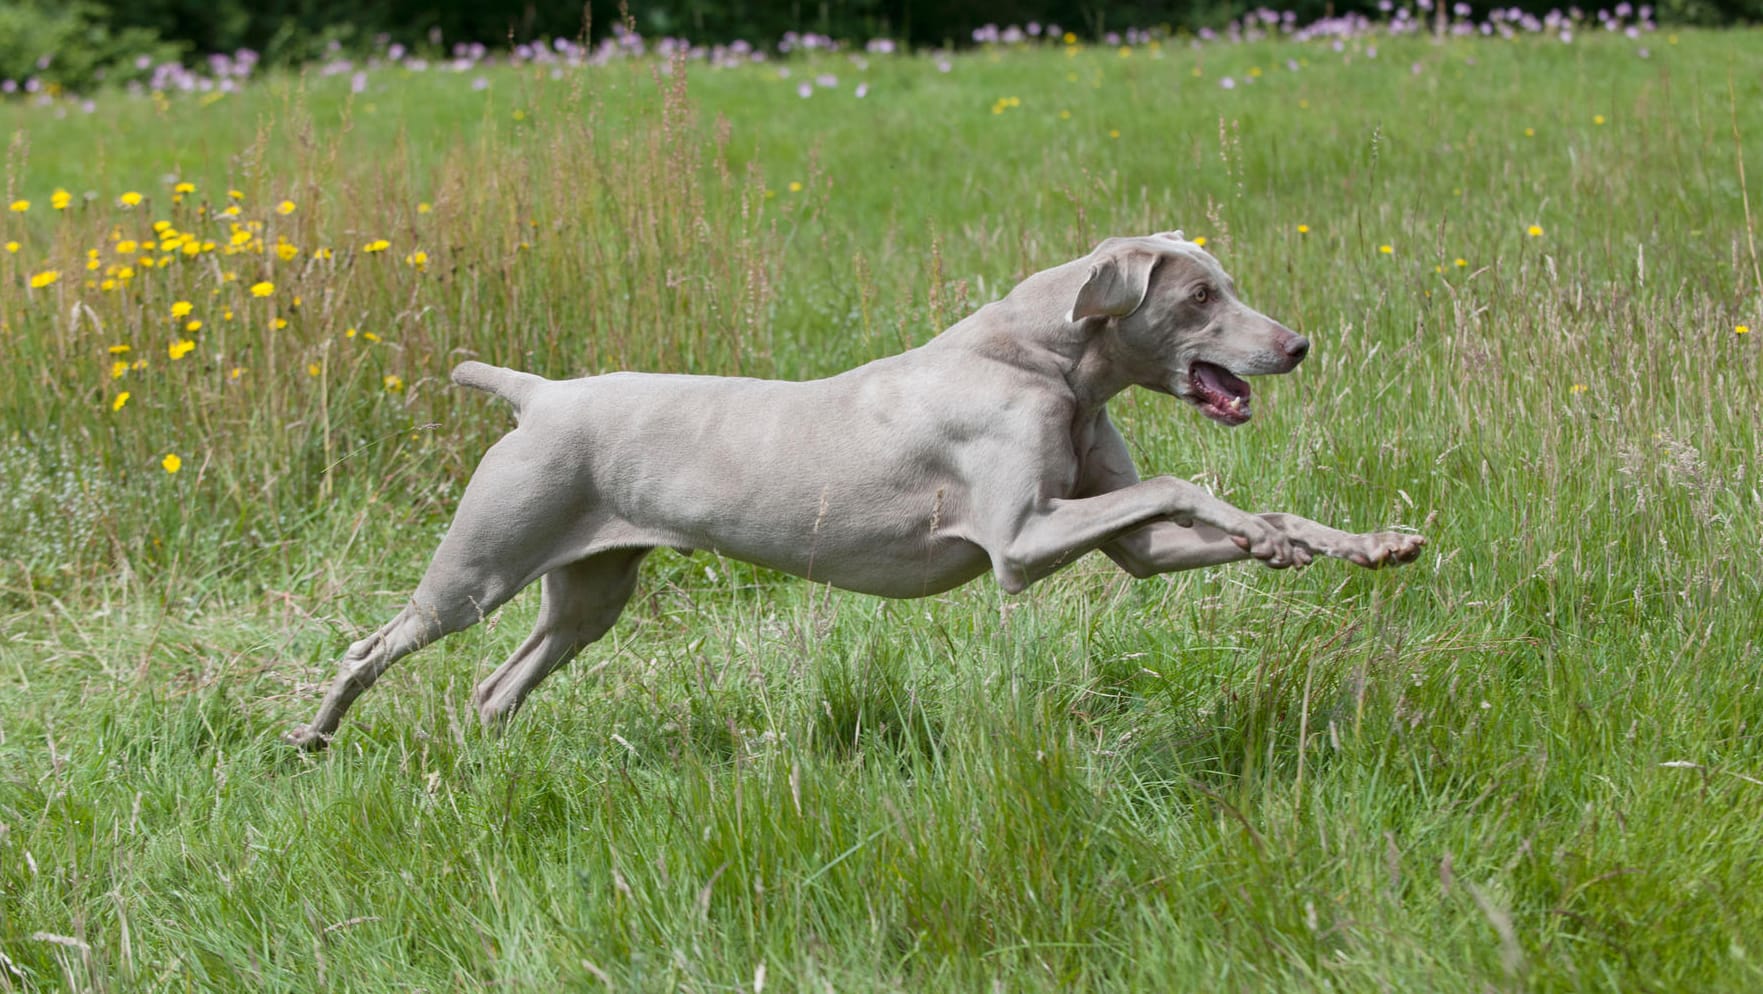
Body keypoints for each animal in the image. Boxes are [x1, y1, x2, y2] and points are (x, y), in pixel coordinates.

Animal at [282, 232, 1424, 747]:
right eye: (1198, 297)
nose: (1297, 345)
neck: (1045, 362)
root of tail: (539, 391)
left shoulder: (1121, 538)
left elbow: (1196, 519)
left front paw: (1351, 543)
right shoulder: (1019, 540)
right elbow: (1186, 485)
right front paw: (1266, 533)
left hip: (590, 592)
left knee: (494, 686)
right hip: (480, 567)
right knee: (372, 646)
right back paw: (312, 738)